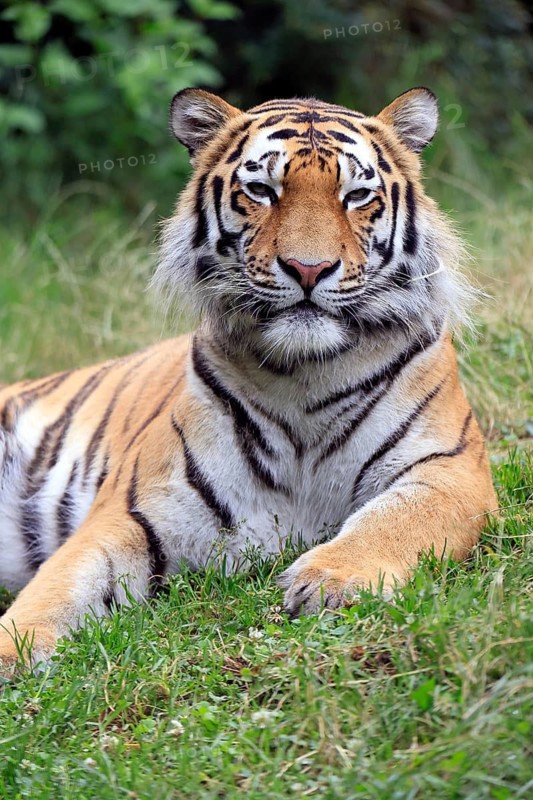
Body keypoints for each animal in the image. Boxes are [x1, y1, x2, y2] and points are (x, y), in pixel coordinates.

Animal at [0, 87, 497, 674]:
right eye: (261, 190)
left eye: (356, 195)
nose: (309, 269)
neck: (307, 374)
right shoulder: (131, 513)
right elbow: (56, 588)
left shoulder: (451, 468)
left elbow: (397, 521)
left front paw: (330, 581)